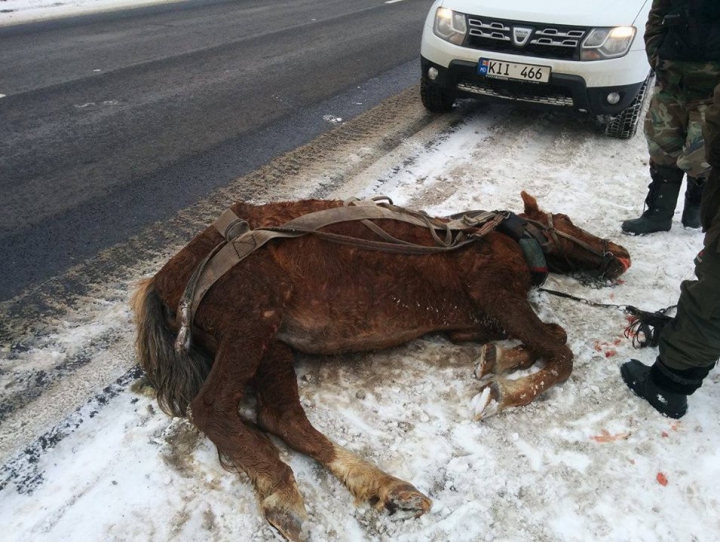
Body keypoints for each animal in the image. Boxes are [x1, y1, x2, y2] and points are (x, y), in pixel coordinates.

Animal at [132, 193, 628, 540]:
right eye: (564, 220)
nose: (622, 253)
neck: (507, 239)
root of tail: (164, 281)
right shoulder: (496, 294)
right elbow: (560, 351)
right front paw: (502, 392)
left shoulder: (471, 322)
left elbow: (546, 337)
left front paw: (496, 361)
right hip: (251, 323)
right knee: (213, 407)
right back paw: (284, 495)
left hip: (273, 345)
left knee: (282, 418)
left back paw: (387, 488)